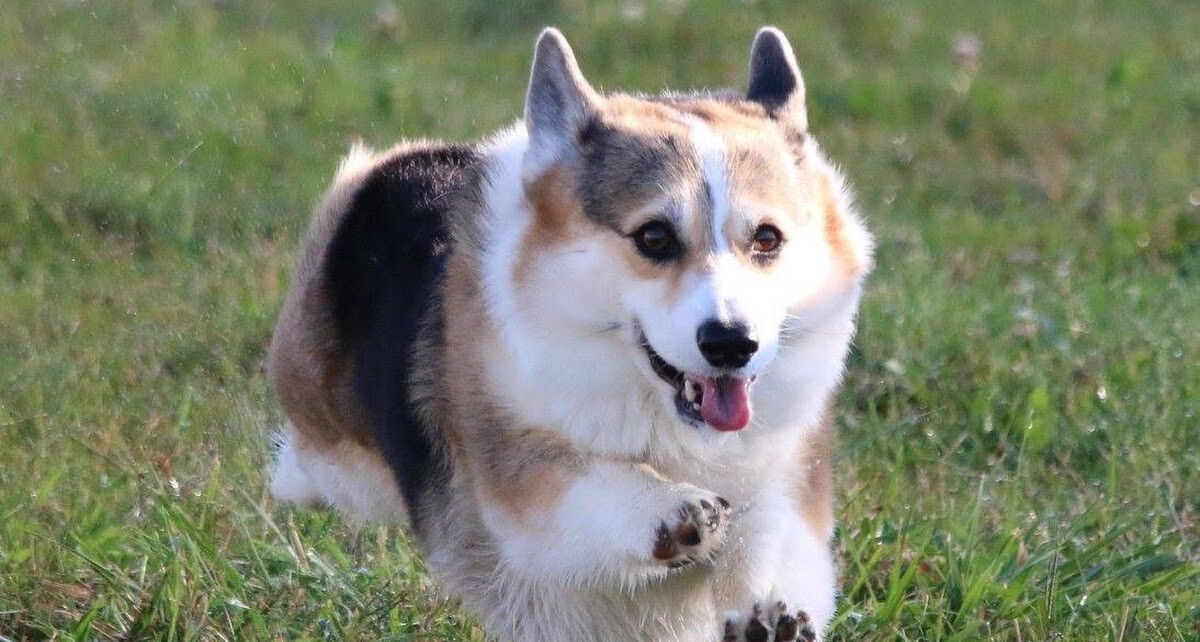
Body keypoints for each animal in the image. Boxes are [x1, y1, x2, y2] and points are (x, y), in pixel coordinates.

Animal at [267, 26, 873, 642]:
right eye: (654, 236)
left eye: (767, 239)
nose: (732, 344)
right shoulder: (516, 477)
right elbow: (585, 477)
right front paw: (671, 510)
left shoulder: (789, 477)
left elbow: (768, 536)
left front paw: (769, 613)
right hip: (335, 442)